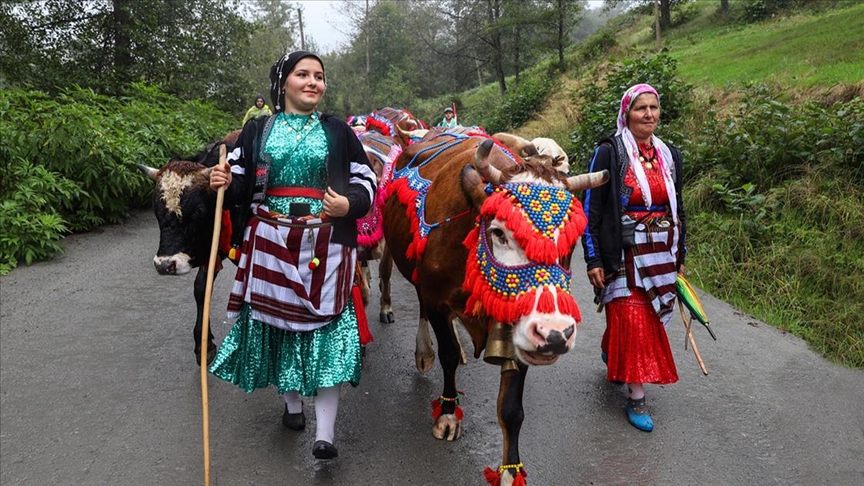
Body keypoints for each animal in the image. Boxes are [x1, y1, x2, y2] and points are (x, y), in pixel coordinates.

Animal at [382, 135, 612, 484]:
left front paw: (509, 472)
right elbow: (448, 355)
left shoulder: (521, 333)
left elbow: (511, 408)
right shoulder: (436, 299)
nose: (556, 335)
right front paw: (447, 414)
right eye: (499, 232)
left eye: (570, 243)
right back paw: (424, 352)